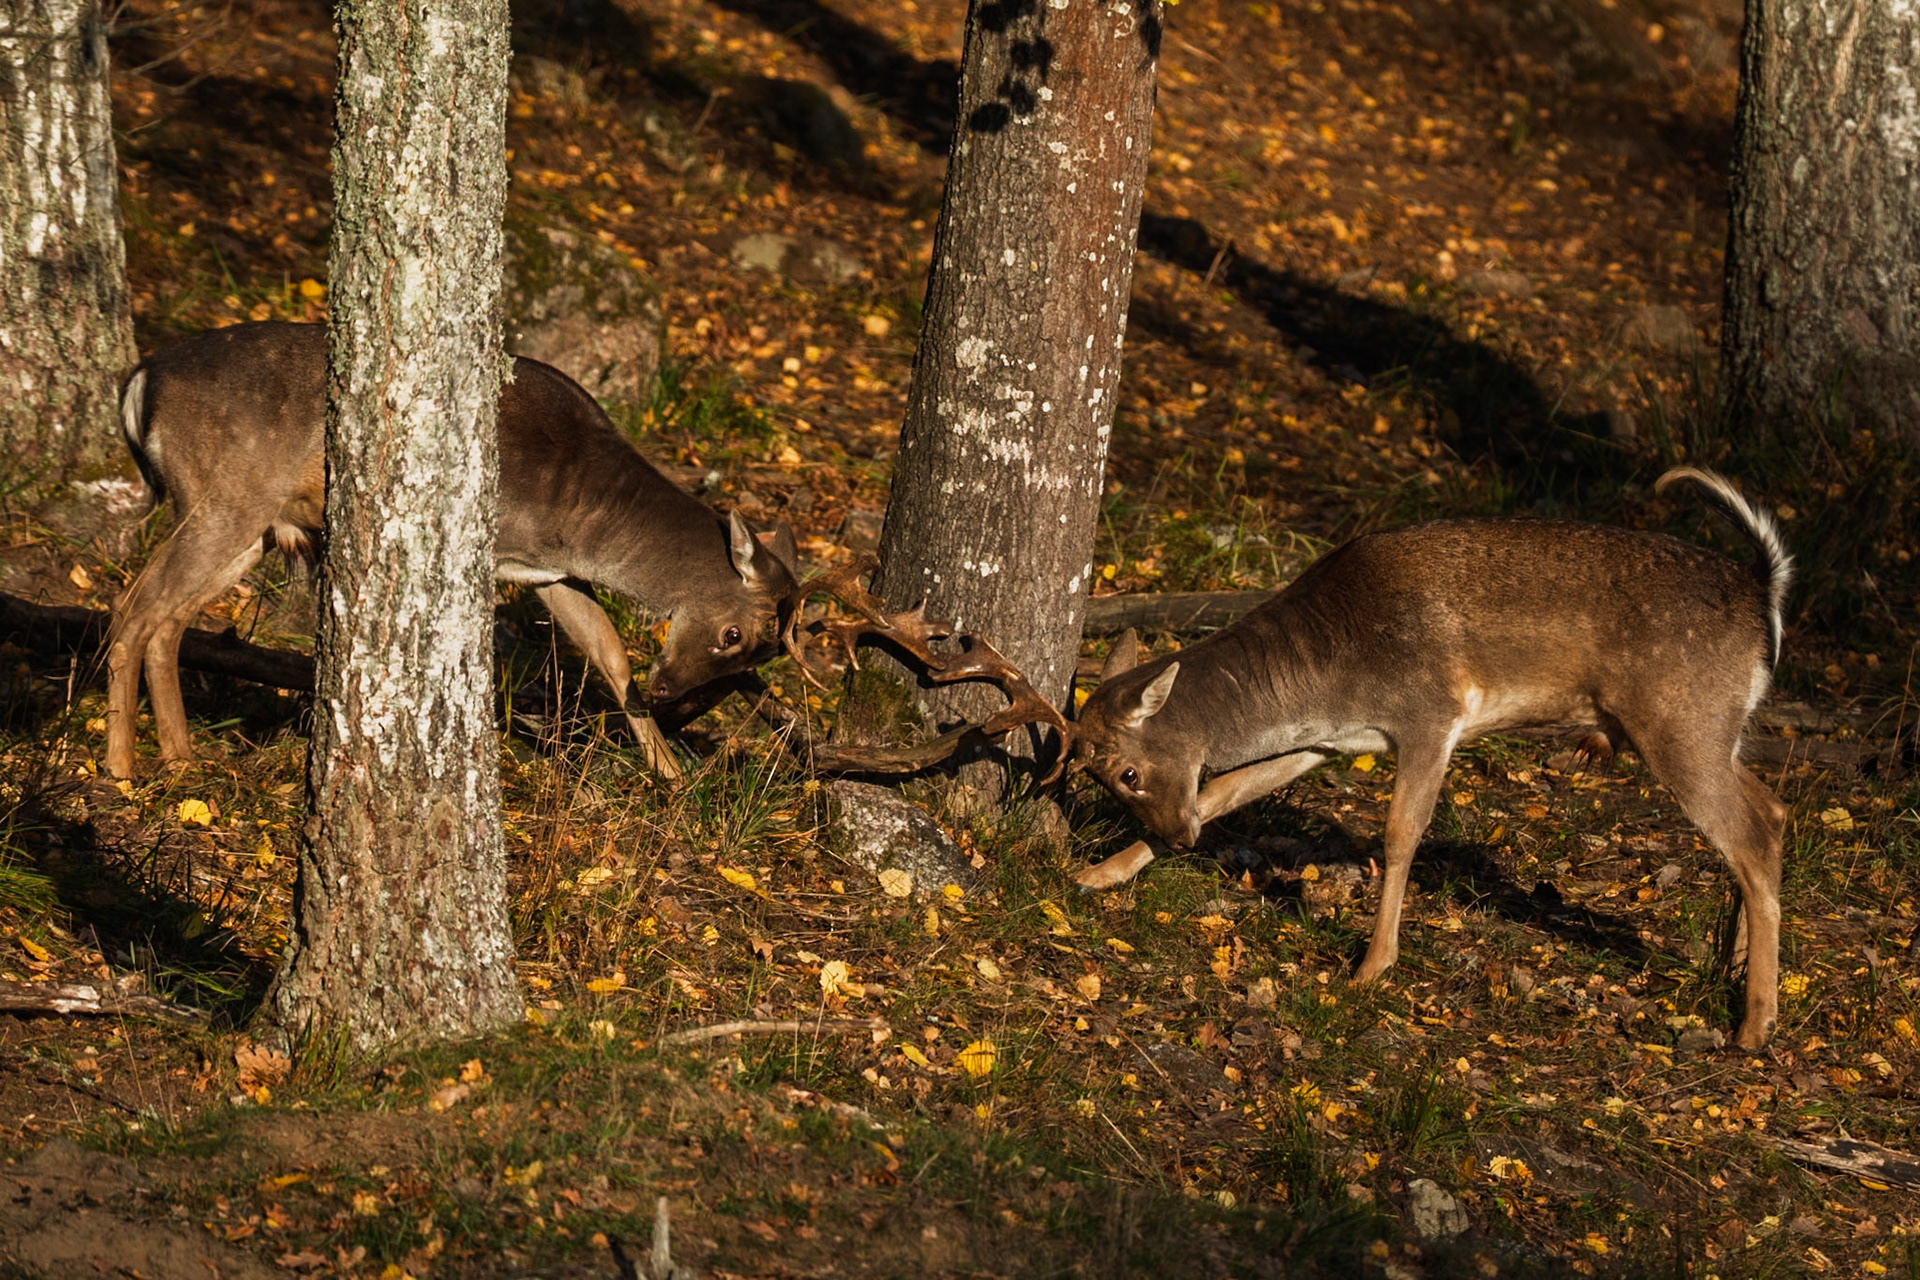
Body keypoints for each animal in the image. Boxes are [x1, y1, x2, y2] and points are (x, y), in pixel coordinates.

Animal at [106, 321, 802, 784]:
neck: (585, 514)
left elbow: (609, 653)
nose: (665, 694)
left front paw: (671, 777)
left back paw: (181, 756)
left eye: (758, 657)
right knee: (133, 605)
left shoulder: (549, 572)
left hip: (249, 526)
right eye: (733, 635)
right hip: (227, 493)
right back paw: (120, 766)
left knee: (167, 617)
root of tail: (139, 381)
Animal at [1068, 469, 1793, 1049]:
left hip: (1679, 718)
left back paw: (1754, 1026)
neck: (1329, 676)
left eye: (1129, 773)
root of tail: (1763, 589)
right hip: (1716, 727)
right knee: (1772, 810)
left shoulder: (1430, 714)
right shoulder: (1325, 741)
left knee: (1751, 836)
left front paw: (1371, 967)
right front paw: (1099, 875)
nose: (1176, 839)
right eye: (1094, 777)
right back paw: (1733, 974)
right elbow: (1225, 792)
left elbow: (1400, 833)